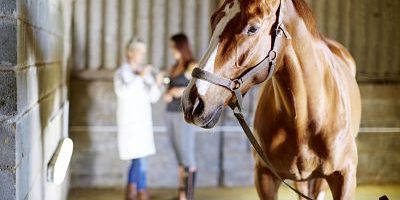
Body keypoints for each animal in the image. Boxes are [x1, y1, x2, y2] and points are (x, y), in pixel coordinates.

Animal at [183, 0, 360, 198]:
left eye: (253, 28)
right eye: (213, 20)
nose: (192, 101)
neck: (303, 120)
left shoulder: (344, 176)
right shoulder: (264, 176)